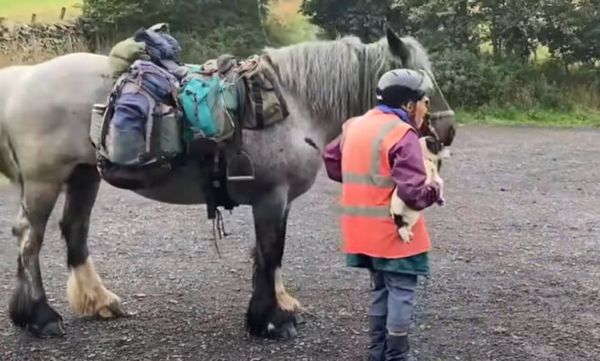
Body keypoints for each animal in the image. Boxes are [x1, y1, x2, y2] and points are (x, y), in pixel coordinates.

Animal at [0, 27, 452, 338]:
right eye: (421, 81)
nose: (445, 132)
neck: (290, 103)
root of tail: (23, 79)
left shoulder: (278, 200)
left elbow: (270, 255)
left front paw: (279, 307)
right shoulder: (271, 196)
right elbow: (270, 253)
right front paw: (270, 322)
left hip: (83, 175)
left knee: (73, 231)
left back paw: (99, 302)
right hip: (44, 181)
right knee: (29, 238)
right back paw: (39, 317)